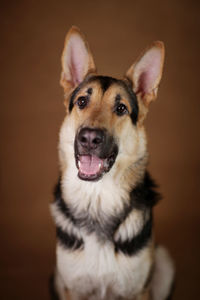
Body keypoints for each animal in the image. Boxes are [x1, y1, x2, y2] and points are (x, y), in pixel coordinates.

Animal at [50, 26, 175, 300]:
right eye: (82, 102)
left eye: (120, 108)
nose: (89, 138)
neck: (97, 198)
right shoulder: (72, 288)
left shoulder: (138, 290)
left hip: (164, 262)